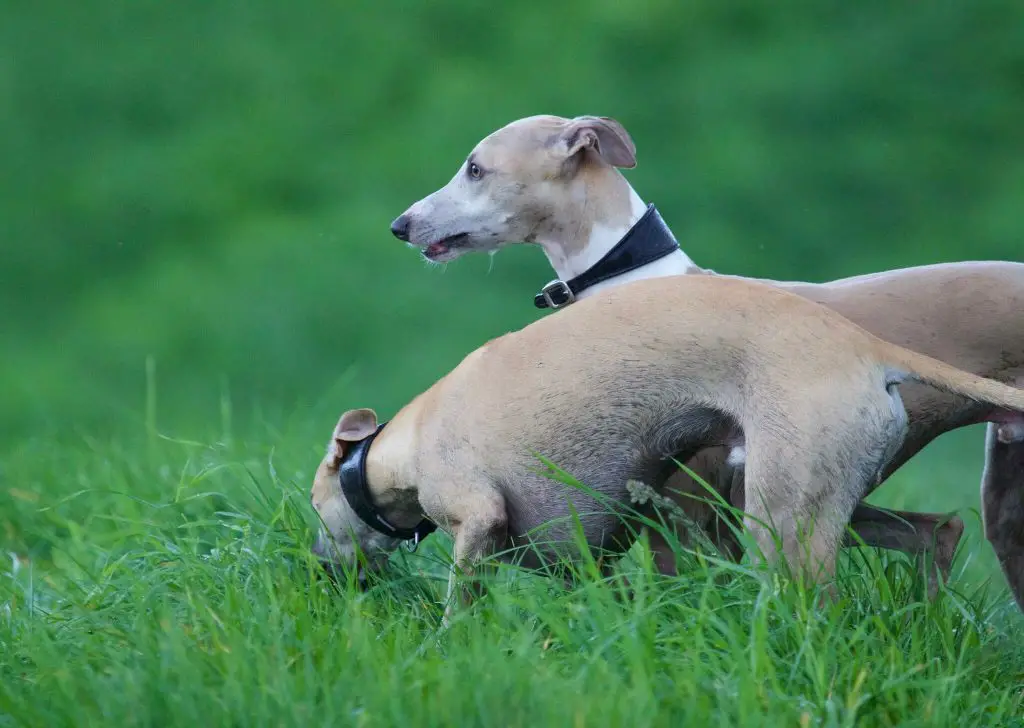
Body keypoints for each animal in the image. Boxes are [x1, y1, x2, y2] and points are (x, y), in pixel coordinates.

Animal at [307, 274, 1024, 614]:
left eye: (315, 509)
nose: (316, 573)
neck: (403, 443)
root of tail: (870, 349)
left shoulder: (476, 510)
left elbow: (458, 600)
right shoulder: (586, 561)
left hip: (781, 519)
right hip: (814, 493)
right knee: (936, 531)